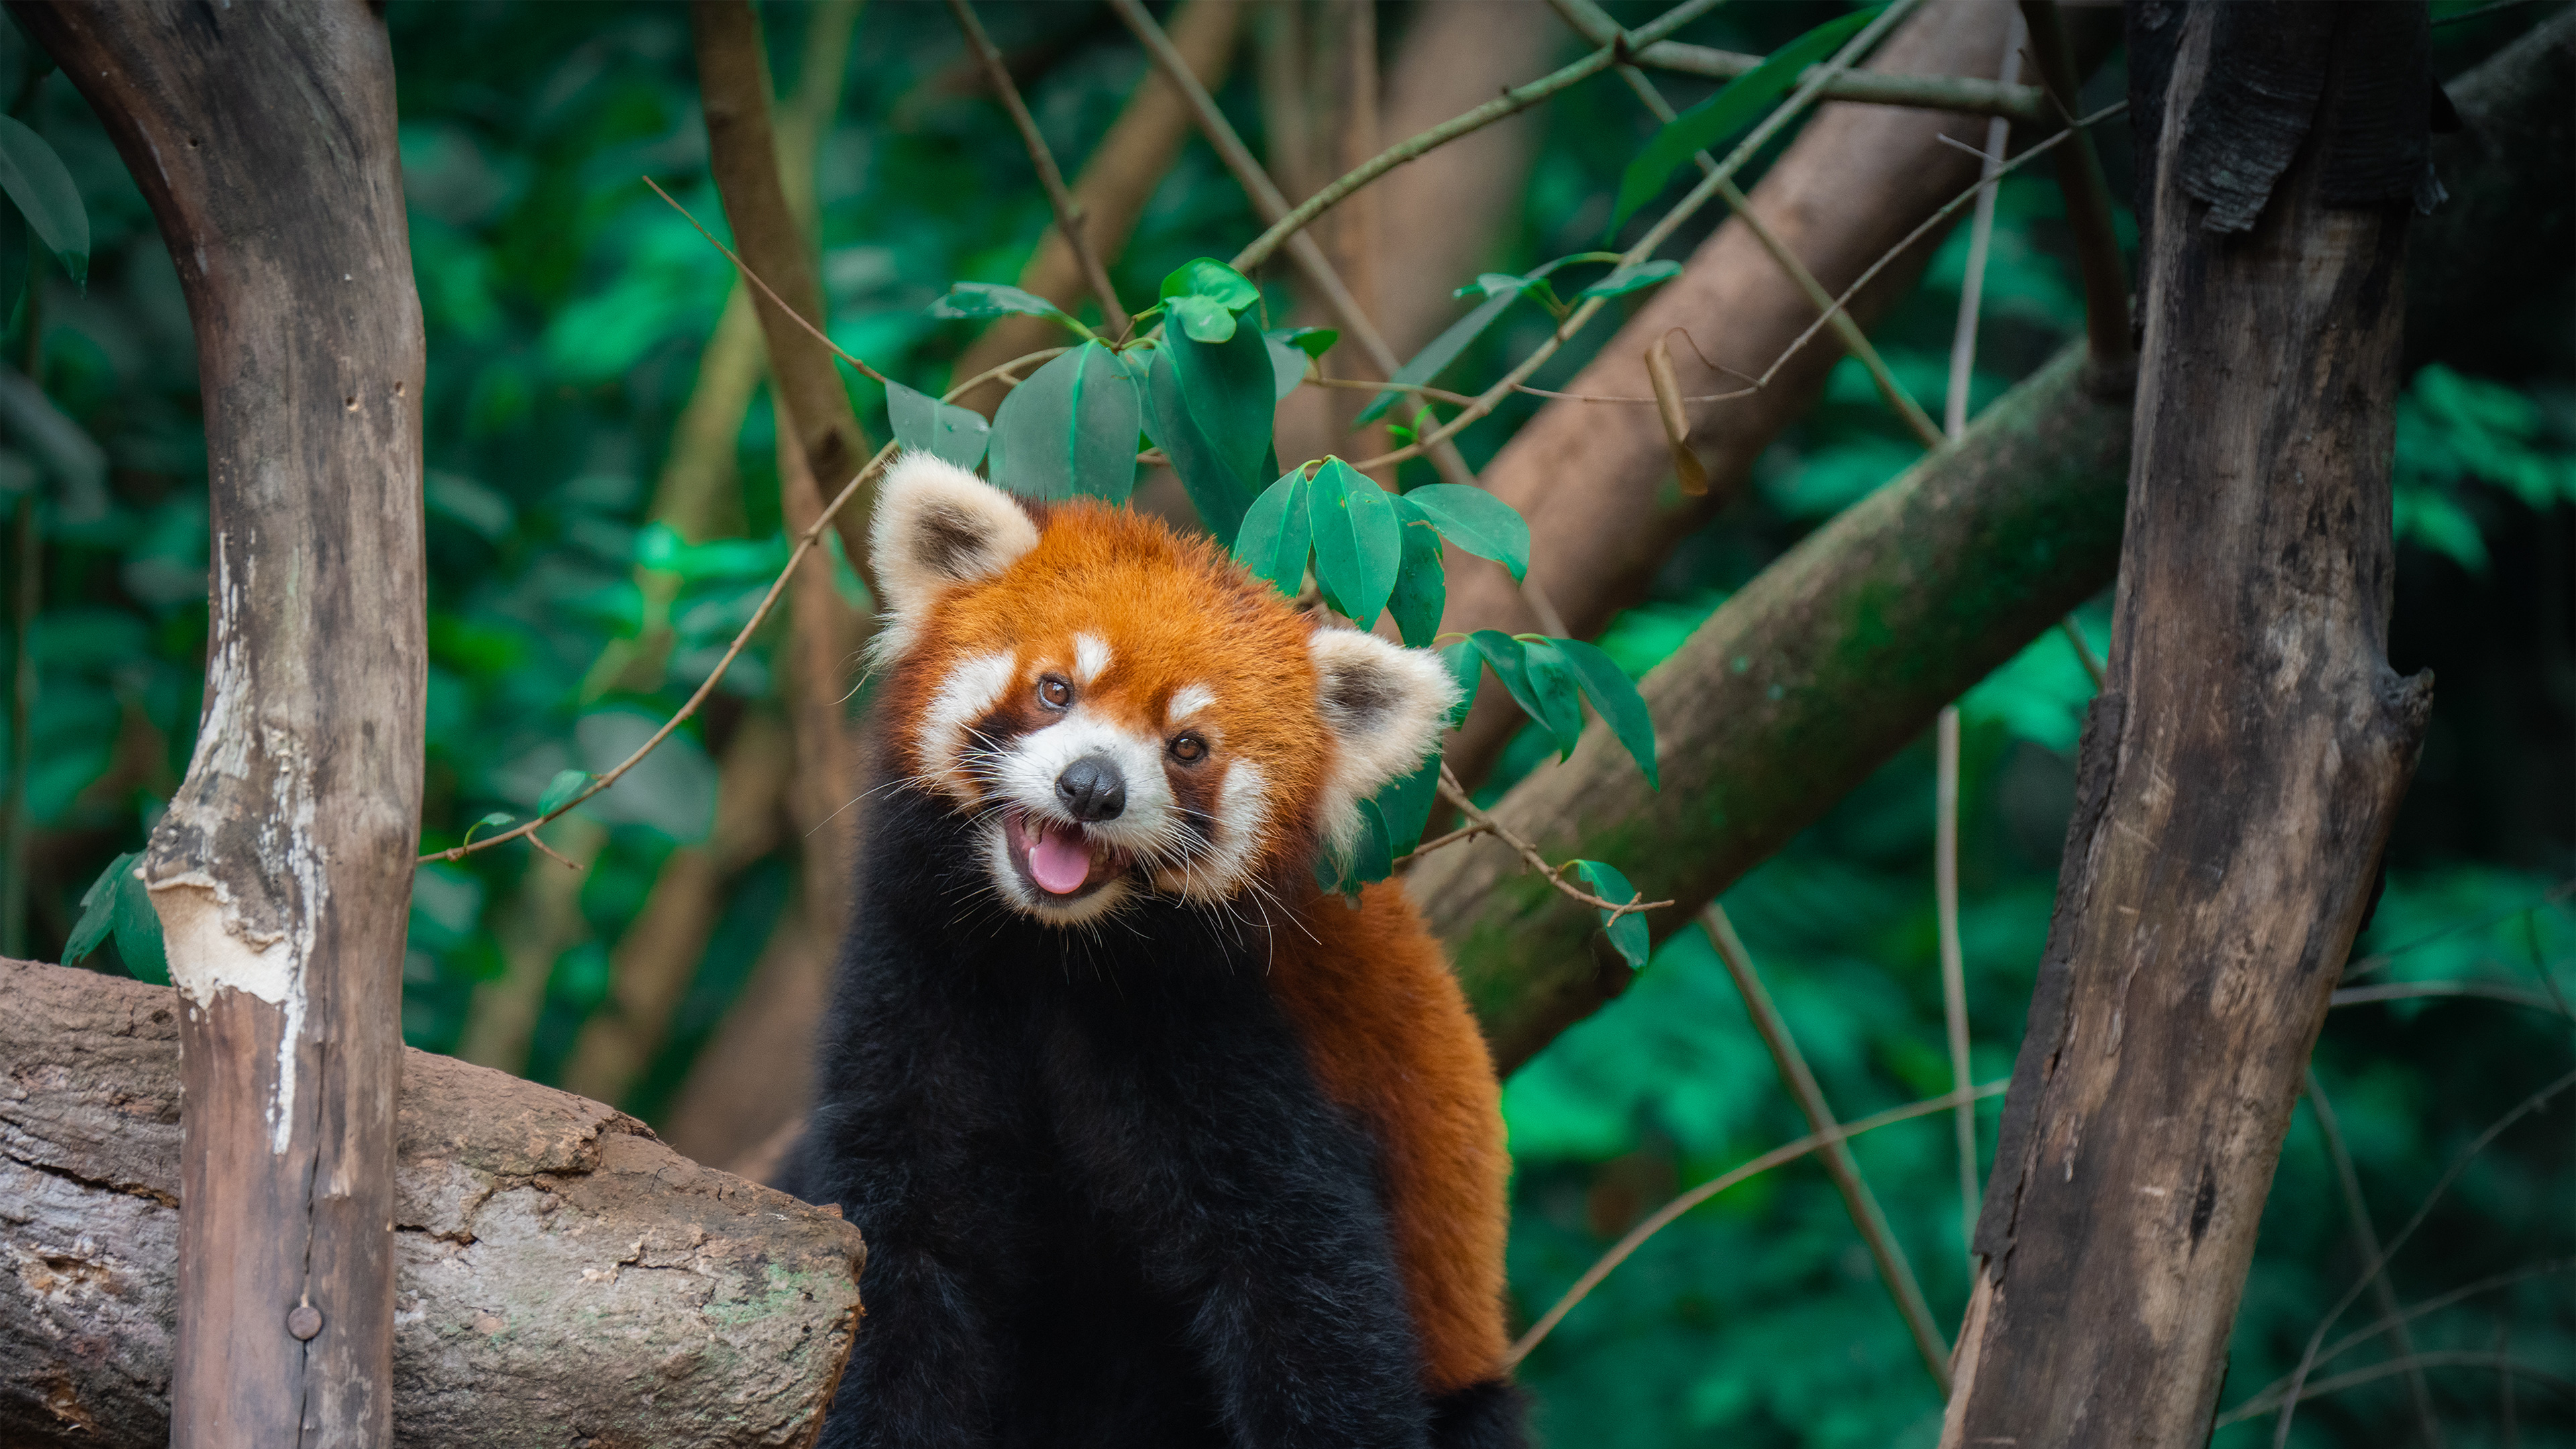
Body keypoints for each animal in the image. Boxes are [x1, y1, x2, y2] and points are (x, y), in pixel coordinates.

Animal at [798, 456, 1525, 1444]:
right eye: (1056, 689)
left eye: (1187, 746)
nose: (1092, 787)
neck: (1055, 955)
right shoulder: (922, 977)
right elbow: (905, 1251)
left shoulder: (1236, 1039)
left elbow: (1307, 1294)